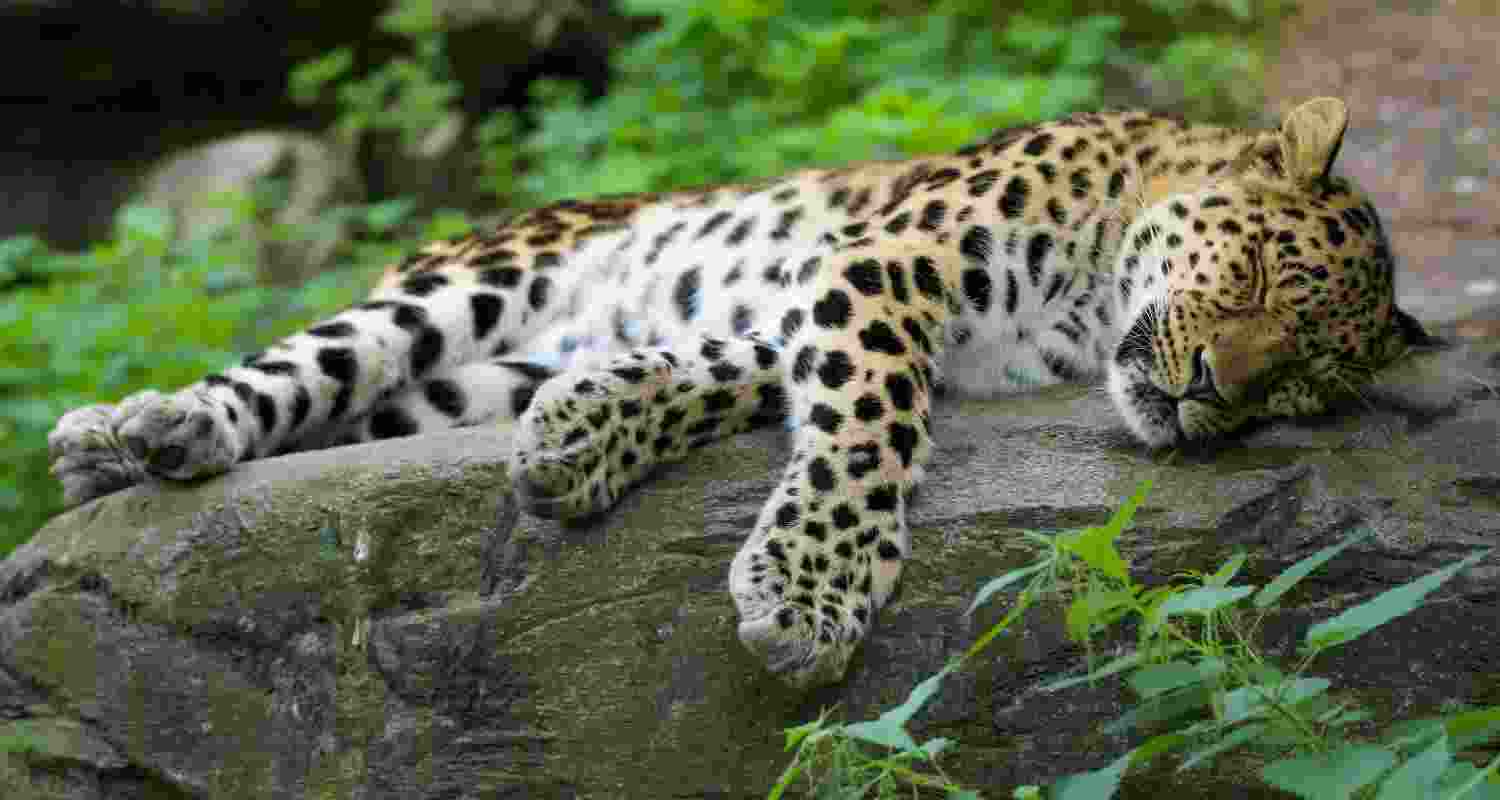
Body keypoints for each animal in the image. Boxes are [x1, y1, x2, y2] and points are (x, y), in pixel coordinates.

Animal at [48, 97, 1428, 688]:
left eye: (1299, 384)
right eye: (1256, 272)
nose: (1207, 394)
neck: (1091, 297)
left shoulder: (812, 304)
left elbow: (715, 375)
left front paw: (583, 437)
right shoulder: (887, 260)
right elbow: (870, 426)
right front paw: (813, 594)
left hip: (461, 383)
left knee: (374, 409)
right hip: (455, 288)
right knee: (305, 363)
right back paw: (139, 427)